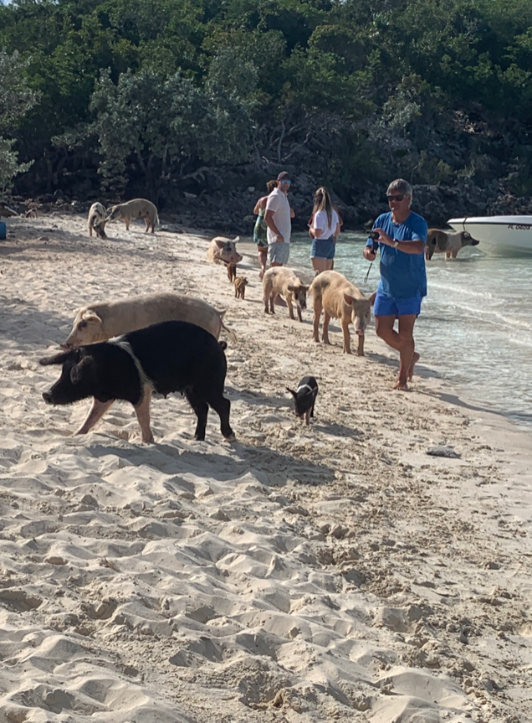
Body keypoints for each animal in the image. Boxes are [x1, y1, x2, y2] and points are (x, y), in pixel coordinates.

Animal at [39, 320, 235, 444]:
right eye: (62, 371)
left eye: (75, 376)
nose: (46, 394)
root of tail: (219, 345)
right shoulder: (104, 397)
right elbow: (91, 417)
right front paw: (75, 435)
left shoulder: (142, 389)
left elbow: (143, 419)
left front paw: (147, 442)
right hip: (190, 390)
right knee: (203, 408)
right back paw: (196, 439)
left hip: (209, 383)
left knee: (224, 403)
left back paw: (229, 436)